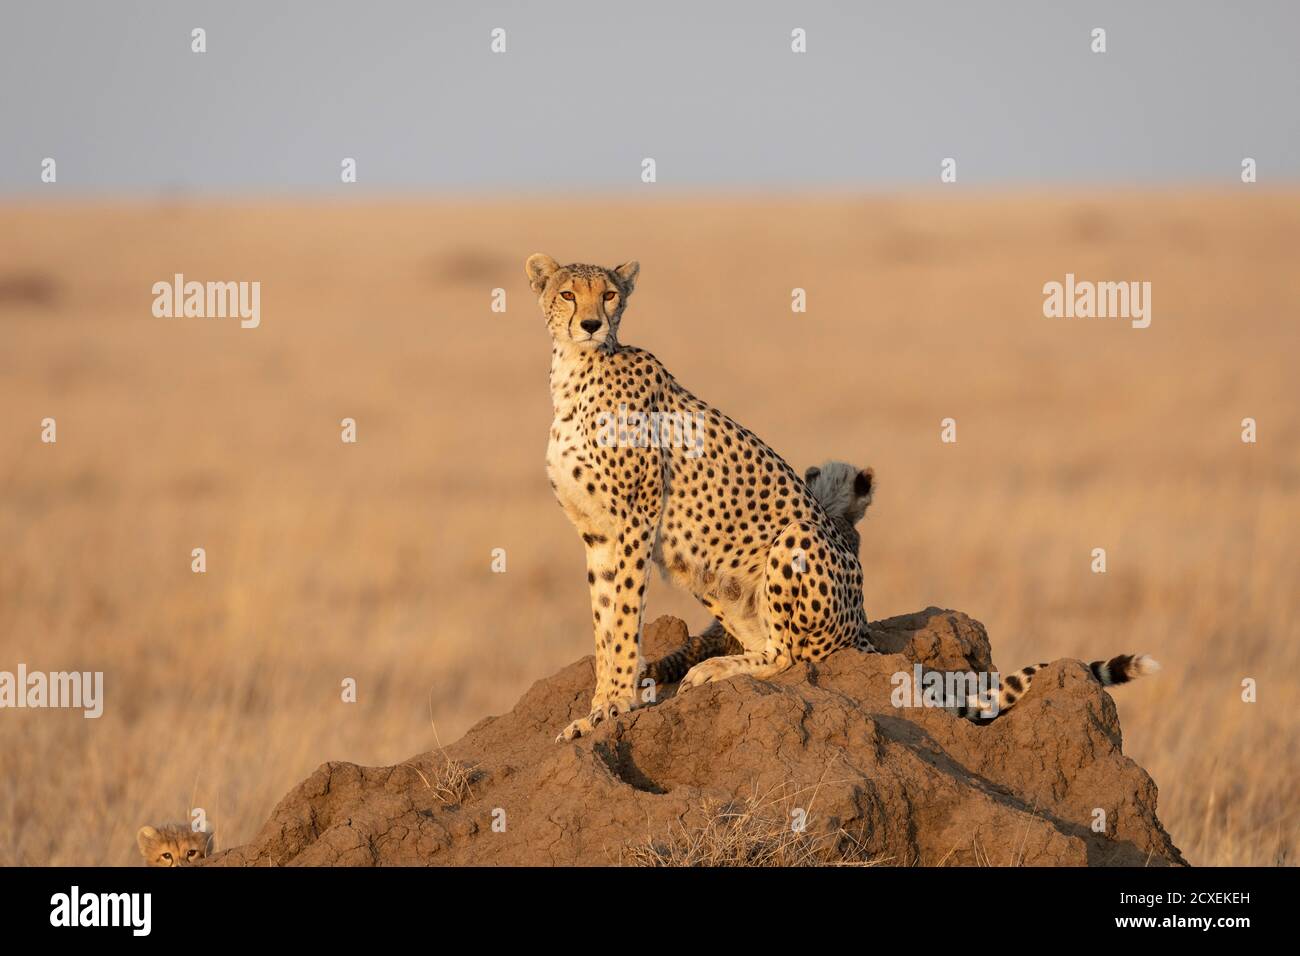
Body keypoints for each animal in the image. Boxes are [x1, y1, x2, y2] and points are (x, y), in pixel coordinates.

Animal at [527, 252, 873, 738]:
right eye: (567, 294)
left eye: (609, 294)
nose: (592, 325)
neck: (576, 372)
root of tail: (862, 626)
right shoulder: (596, 532)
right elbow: (604, 622)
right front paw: (595, 709)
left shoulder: (637, 517)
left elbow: (625, 613)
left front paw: (617, 702)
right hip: (710, 576)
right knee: (766, 641)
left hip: (797, 537)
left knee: (788, 653)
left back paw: (714, 669)